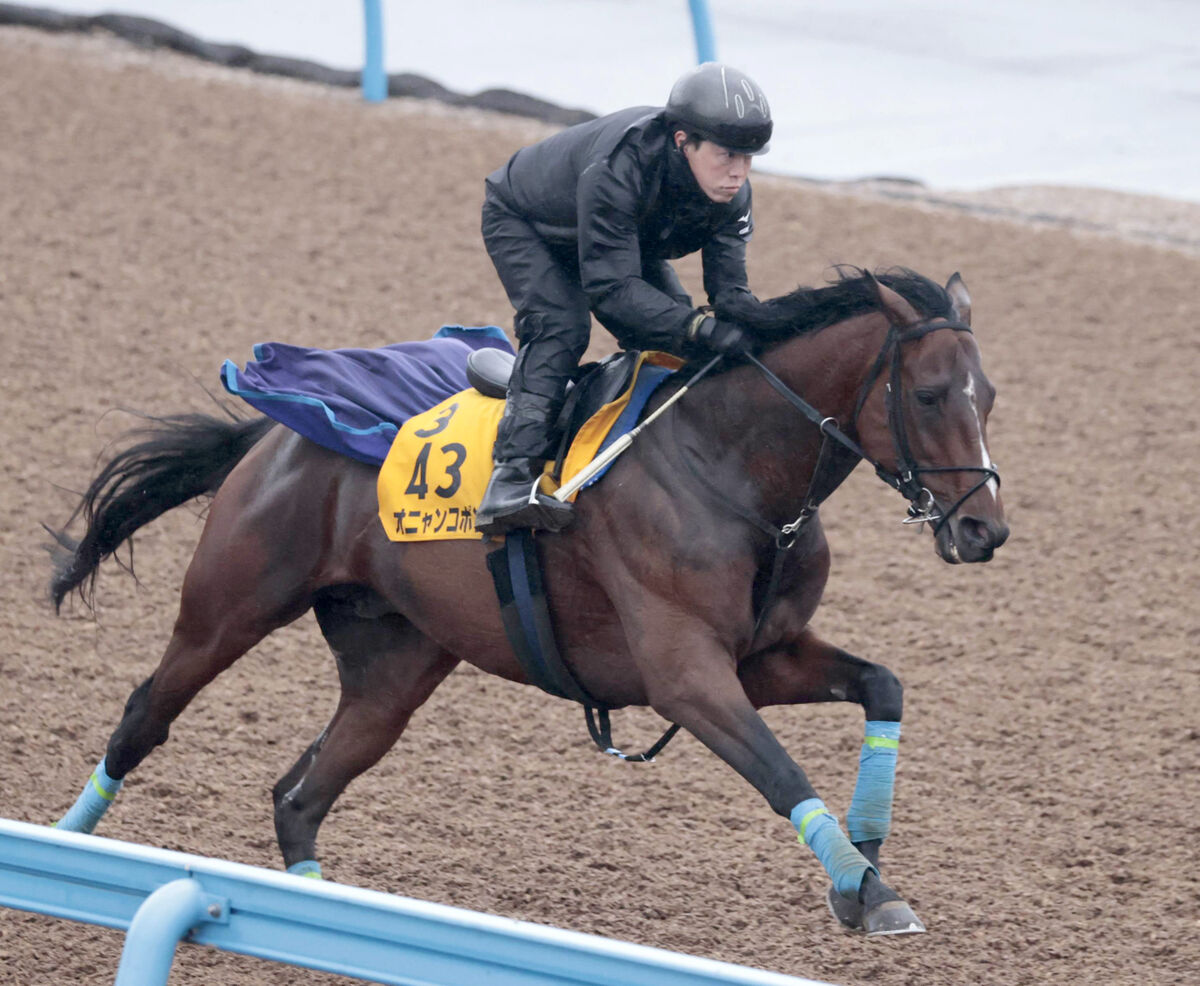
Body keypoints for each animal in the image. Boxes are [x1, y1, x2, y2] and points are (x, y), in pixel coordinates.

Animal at [46, 269, 1003, 940]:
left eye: (988, 397)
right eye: (927, 395)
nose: (984, 528)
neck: (729, 469)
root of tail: (275, 431)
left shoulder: (760, 657)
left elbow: (882, 686)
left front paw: (862, 871)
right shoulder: (685, 674)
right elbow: (782, 774)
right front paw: (871, 890)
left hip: (393, 666)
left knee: (300, 795)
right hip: (229, 609)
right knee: (146, 716)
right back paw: (62, 847)